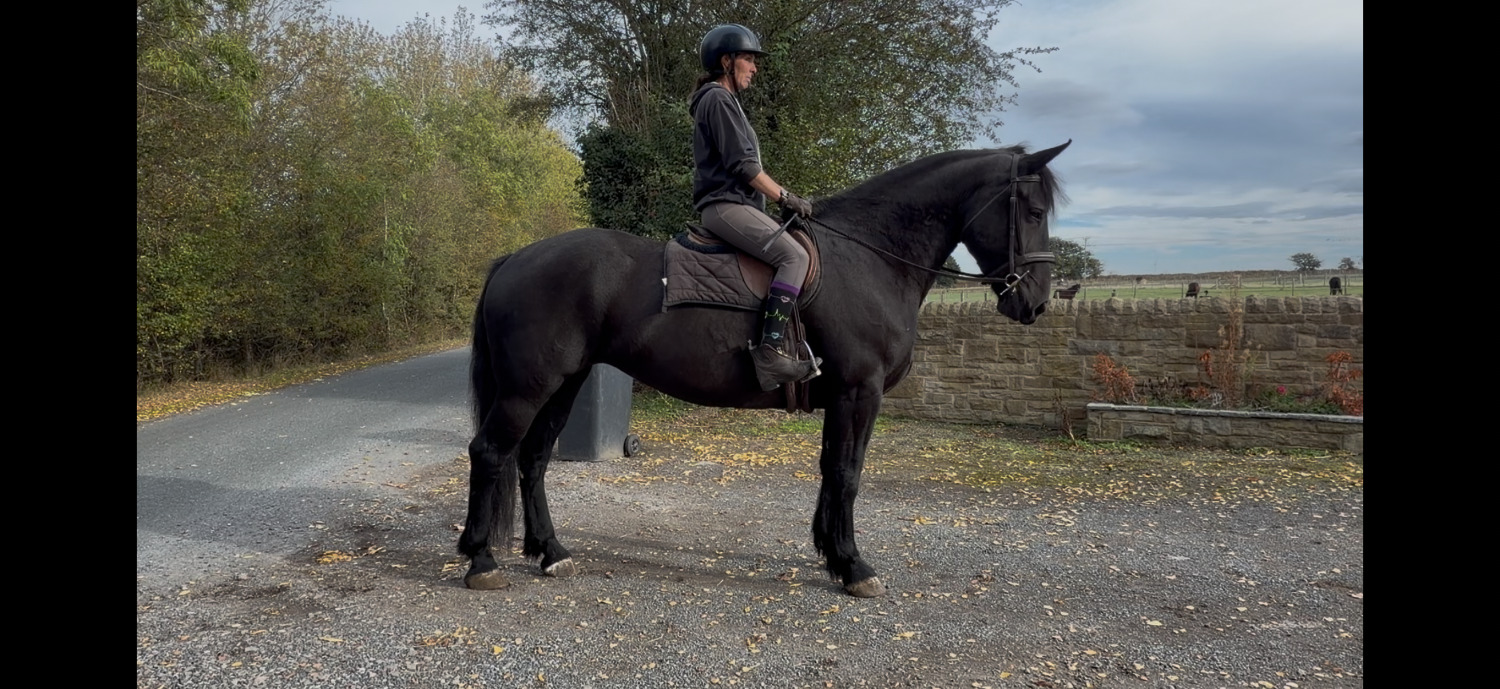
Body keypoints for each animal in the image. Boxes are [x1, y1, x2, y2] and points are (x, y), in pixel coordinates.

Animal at [461, 142, 1071, 597]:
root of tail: (515, 258)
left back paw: (550, 553)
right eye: (1034, 212)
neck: (870, 255)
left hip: (564, 384)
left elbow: (830, 471)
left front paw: (831, 553)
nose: (1037, 302)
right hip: (528, 388)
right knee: (490, 453)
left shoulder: (841, 397)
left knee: (533, 460)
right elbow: (847, 474)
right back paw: (481, 560)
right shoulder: (859, 391)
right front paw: (854, 567)